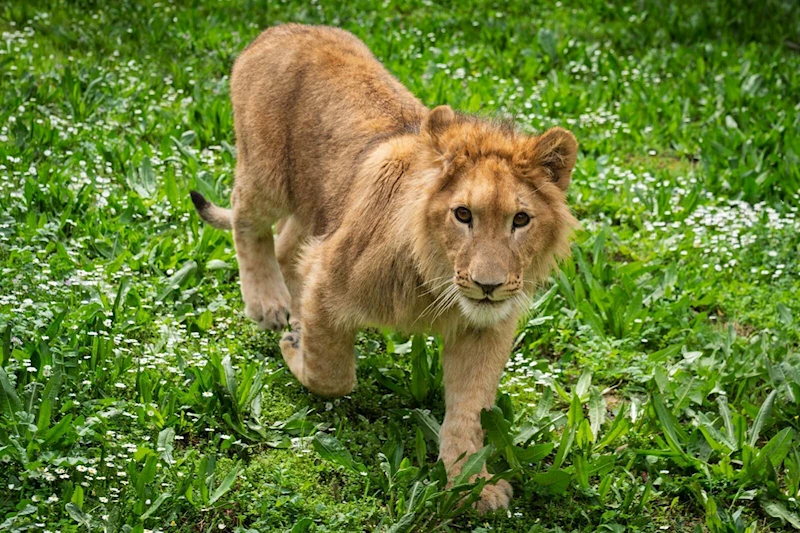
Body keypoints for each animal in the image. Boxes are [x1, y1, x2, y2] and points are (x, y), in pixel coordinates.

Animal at [191, 23, 580, 512]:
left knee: (287, 246)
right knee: (247, 221)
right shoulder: (327, 274)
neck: (436, 282)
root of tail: (284, 28)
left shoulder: (484, 328)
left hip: (317, 203)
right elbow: (333, 375)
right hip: (266, 175)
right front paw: (294, 349)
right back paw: (269, 304)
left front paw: (472, 483)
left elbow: (470, 410)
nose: (487, 286)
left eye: (521, 220)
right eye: (463, 215)